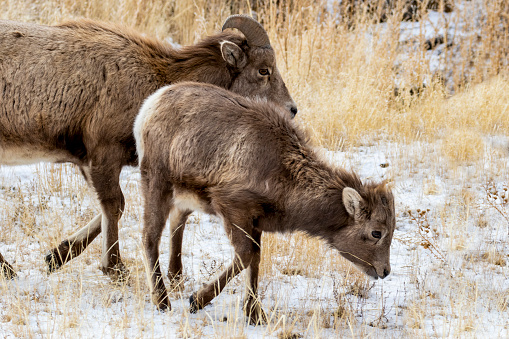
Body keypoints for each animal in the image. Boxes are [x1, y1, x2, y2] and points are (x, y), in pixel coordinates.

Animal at [0, 15, 298, 282]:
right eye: (263, 70)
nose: (292, 110)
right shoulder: (104, 157)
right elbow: (114, 206)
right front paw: (115, 269)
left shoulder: (91, 163)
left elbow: (111, 209)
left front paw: (56, 256)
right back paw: (8, 271)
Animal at [134, 81, 392, 324]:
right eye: (376, 232)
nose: (385, 271)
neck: (285, 181)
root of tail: (148, 107)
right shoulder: (232, 208)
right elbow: (246, 256)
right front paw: (196, 300)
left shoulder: (255, 221)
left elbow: (255, 262)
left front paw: (255, 315)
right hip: (156, 182)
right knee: (149, 236)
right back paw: (162, 301)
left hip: (183, 198)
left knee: (175, 224)